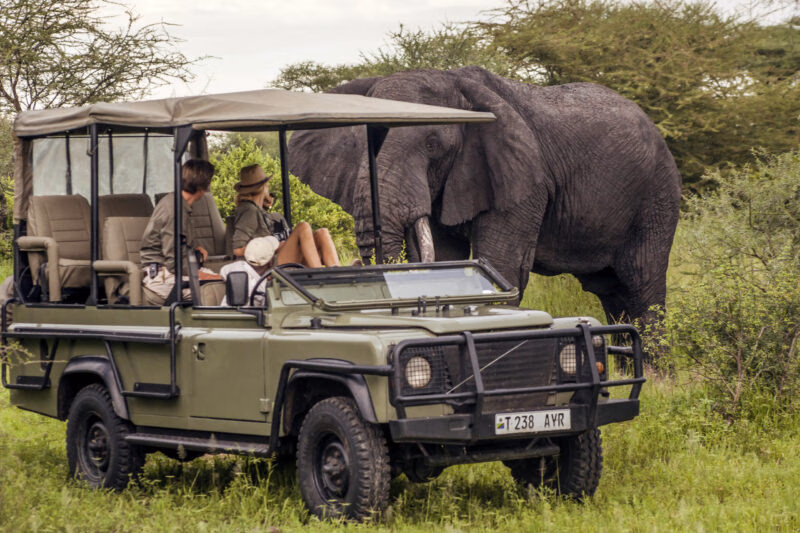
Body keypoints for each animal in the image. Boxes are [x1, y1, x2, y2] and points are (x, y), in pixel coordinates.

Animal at [288, 66, 682, 325]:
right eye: (365, 143)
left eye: (433, 144)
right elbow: (445, 257)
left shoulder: (522, 179)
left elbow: (501, 265)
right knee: (612, 291)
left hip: (657, 194)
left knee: (641, 282)